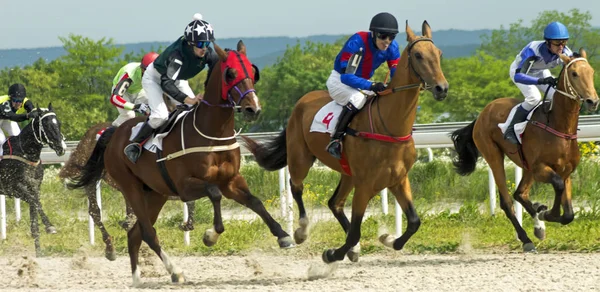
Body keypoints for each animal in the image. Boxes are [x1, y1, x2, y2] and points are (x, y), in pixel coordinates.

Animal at [0, 105, 66, 256]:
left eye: (59, 123)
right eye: (46, 125)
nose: (62, 148)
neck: (26, 153)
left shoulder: (35, 187)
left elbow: (35, 210)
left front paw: (39, 253)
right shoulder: (16, 187)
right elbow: (35, 202)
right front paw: (50, 227)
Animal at [68, 41, 292, 286]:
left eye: (253, 72)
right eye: (230, 73)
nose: (253, 108)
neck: (213, 132)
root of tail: (113, 134)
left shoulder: (230, 180)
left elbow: (255, 202)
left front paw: (283, 235)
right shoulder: (185, 186)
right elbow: (214, 193)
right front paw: (211, 235)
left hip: (156, 193)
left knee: (135, 233)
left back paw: (137, 278)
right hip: (131, 188)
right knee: (147, 233)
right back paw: (174, 271)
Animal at [241, 20, 448, 262]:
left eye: (438, 53)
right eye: (418, 55)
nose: (442, 88)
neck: (390, 128)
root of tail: (302, 101)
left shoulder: (398, 179)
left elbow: (414, 222)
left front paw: (387, 239)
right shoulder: (365, 185)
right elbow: (356, 231)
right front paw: (332, 253)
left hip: (347, 172)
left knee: (335, 203)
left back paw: (352, 247)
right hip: (300, 158)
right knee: (297, 187)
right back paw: (301, 230)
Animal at [452, 49, 596, 252]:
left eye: (591, 72)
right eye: (574, 73)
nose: (593, 101)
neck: (559, 127)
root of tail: (483, 113)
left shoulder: (566, 171)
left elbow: (568, 214)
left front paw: (543, 214)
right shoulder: (540, 169)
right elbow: (558, 185)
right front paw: (547, 214)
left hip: (526, 166)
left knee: (519, 193)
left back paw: (538, 226)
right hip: (494, 155)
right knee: (507, 201)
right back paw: (526, 238)